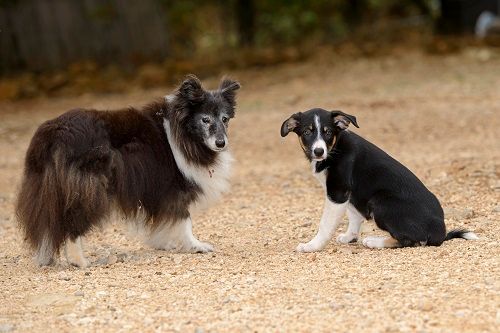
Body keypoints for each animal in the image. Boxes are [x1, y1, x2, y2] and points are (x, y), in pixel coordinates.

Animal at [15, 74, 240, 266]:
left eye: (225, 119)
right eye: (205, 119)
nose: (221, 143)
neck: (182, 131)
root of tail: (53, 132)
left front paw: (163, 243)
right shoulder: (176, 188)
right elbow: (185, 221)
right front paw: (196, 246)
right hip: (90, 190)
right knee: (73, 222)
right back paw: (80, 262)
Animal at [280, 109, 478, 252]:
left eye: (328, 133)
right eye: (307, 132)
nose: (319, 151)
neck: (335, 148)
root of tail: (440, 232)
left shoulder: (337, 192)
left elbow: (325, 225)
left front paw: (312, 246)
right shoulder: (348, 194)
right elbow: (354, 215)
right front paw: (350, 237)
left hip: (380, 202)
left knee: (412, 240)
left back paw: (375, 242)